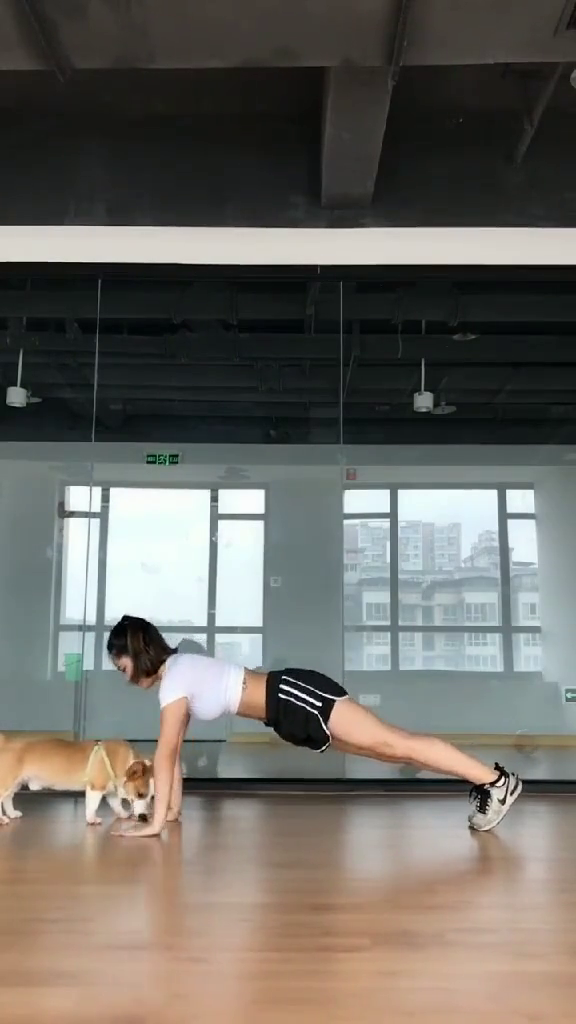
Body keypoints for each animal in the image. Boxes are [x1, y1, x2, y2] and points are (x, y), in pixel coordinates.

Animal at [0, 736, 154, 825]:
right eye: (140, 794)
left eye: (152, 797)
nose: (144, 817)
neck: (126, 761)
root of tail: (5, 741)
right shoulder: (96, 787)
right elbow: (92, 806)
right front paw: (92, 819)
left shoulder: (111, 791)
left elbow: (116, 804)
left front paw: (123, 814)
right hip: (6, 782)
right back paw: (2, 819)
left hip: (15, 784)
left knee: (8, 798)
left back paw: (12, 813)